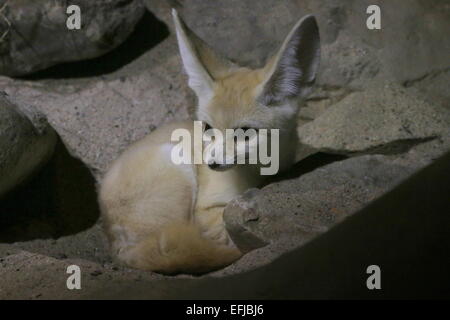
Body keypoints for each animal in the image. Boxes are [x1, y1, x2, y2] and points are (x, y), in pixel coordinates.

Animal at [98, 10, 320, 276]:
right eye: (207, 128)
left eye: (245, 133)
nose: (210, 164)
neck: (260, 170)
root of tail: (116, 248)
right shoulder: (206, 211)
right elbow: (225, 229)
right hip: (177, 163)